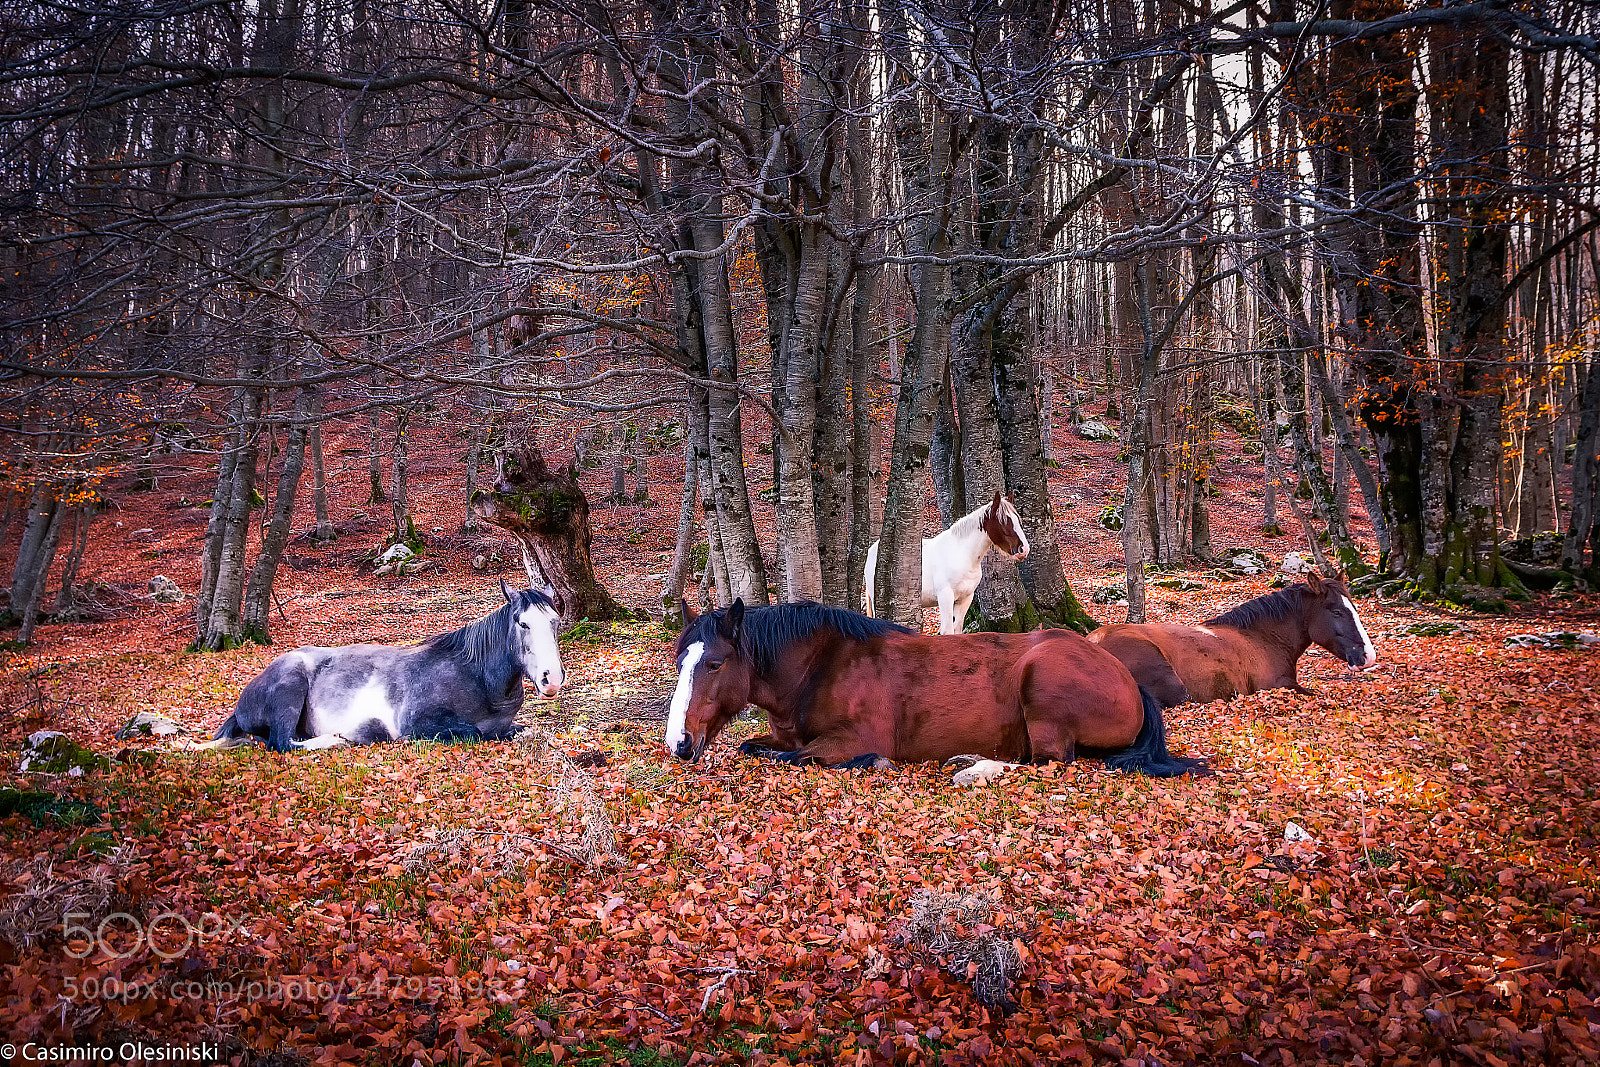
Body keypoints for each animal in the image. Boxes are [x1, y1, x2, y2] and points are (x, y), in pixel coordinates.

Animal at [207, 580, 566, 751]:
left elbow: (522, 731)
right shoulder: (420, 723)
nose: (551, 679)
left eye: (555, 621)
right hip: (290, 687)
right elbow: (474, 733)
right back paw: (343, 738)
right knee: (281, 743)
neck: (475, 678)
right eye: (522, 623)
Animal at [665, 598, 1206, 776]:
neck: (819, 667)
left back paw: (970, 763)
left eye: (713, 663)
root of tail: (1126, 677)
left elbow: (797, 756)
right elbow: (759, 747)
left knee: (1047, 761)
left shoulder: (850, 740)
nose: (679, 743)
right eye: (679, 660)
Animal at [863, 491, 1029, 634]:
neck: (961, 555)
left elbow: (957, 630)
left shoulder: (965, 599)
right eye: (1004, 521)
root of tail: (872, 551)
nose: (1024, 549)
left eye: (1017, 520)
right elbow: (947, 631)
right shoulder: (945, 597)